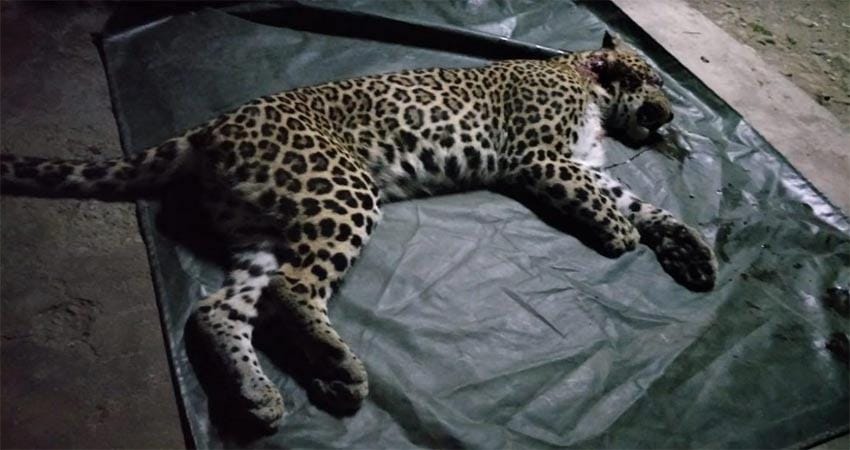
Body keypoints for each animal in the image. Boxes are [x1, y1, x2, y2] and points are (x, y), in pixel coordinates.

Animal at [0, 32, 717, 429]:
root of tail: (206, 129)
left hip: (261, 229)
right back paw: (338, 367)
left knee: (219, 308)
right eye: (656, 78)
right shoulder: (541, 157)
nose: (672, 114)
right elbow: (605, 202)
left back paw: (260, 395)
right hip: (342, 190)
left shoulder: (581, 161)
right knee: (292, 287)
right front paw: (620, 235)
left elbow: (642, 203)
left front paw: (693, 253)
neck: (587, 80)